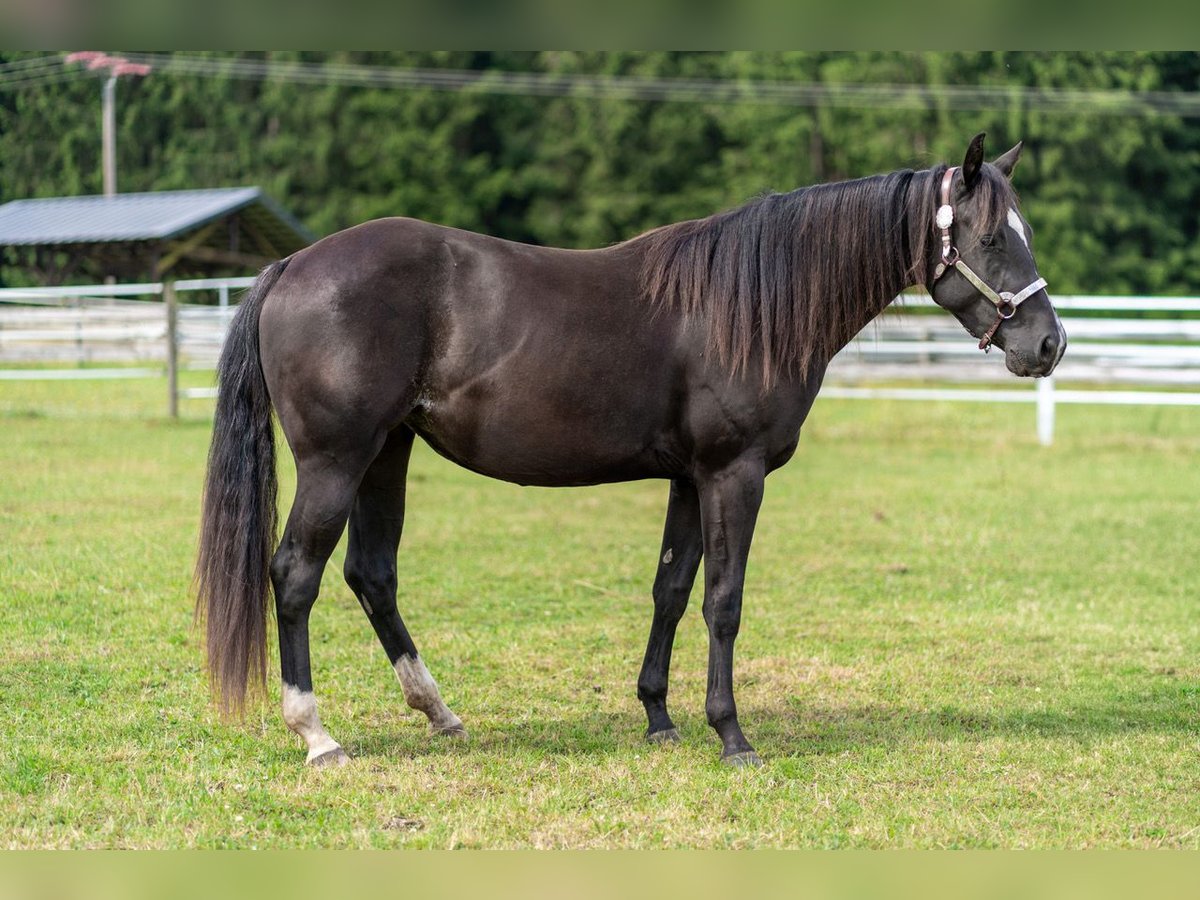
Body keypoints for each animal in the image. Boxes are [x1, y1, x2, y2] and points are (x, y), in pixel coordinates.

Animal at [195, 133, 1065, 767]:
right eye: (993, 236)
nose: (1048, 344)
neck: (743, 304)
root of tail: (292, 266)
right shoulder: (734, 474)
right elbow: (724, 602)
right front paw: (731, 735)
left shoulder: (689, 478)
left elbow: (671, 591)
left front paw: (658, 717)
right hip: (336, 462)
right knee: (295, 575)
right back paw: (317, 735)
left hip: (387, 453)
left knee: (371, 574)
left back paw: (439, 712)